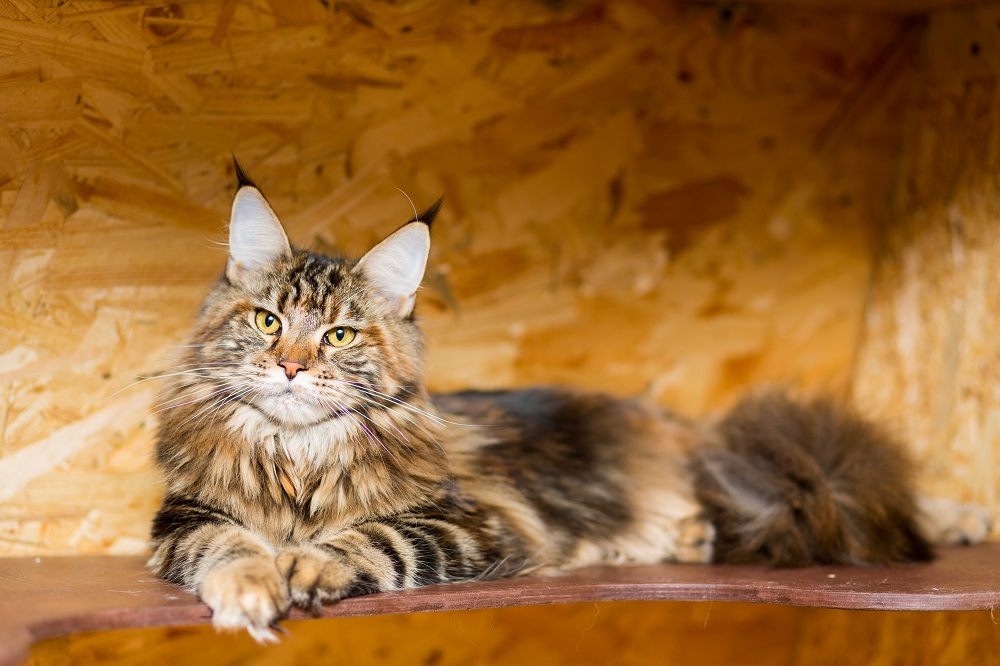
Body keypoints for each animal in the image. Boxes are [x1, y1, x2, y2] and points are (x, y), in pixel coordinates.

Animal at [150, 166, 992, 640]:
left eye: (339, 335)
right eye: (269, 321)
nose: (291, 366)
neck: (298, 460)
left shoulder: (471, 519)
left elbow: (372, 538)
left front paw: (307, 565)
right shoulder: (184, 517)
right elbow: (228, 547)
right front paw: (253, 588)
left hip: (734, 465)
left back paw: (968, 519)